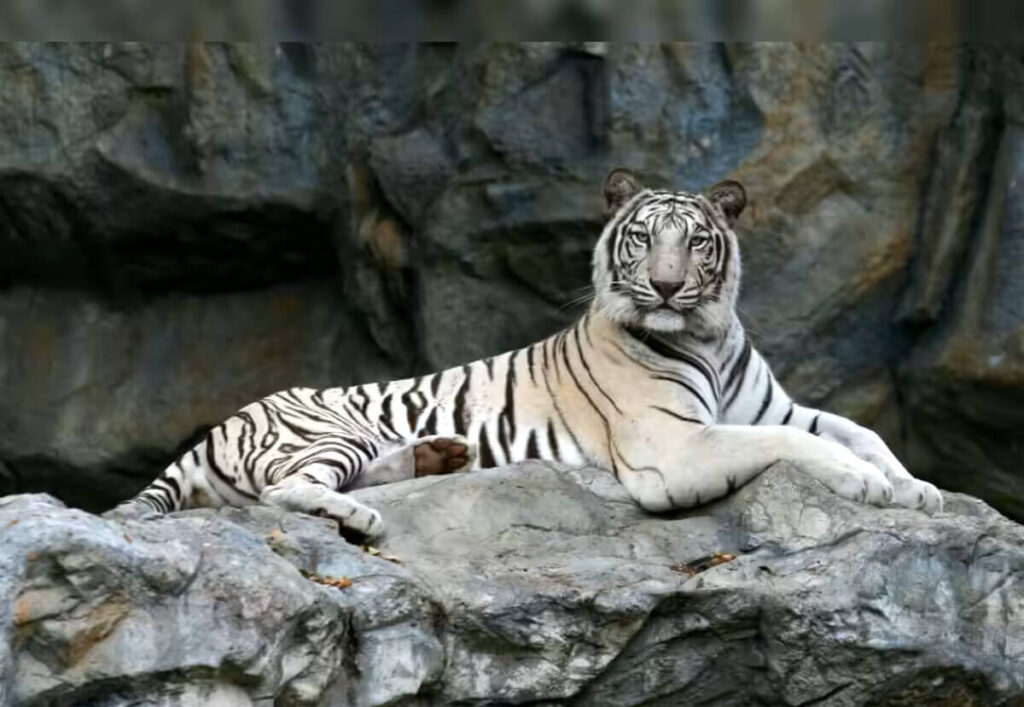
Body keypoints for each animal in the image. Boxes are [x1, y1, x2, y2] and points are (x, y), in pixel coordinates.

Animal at [108, 169, 942, 539]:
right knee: (284, 492)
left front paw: (918, 487)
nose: (667, 287)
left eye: (696, 242)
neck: (706, 332)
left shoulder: (778, 405)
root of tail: (221, 423)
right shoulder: (672, 448)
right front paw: (870, 485)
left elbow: (856, 431)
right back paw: (362, 513)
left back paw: (439, 456)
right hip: (329, 429)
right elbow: (789, 445)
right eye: (645, 239)